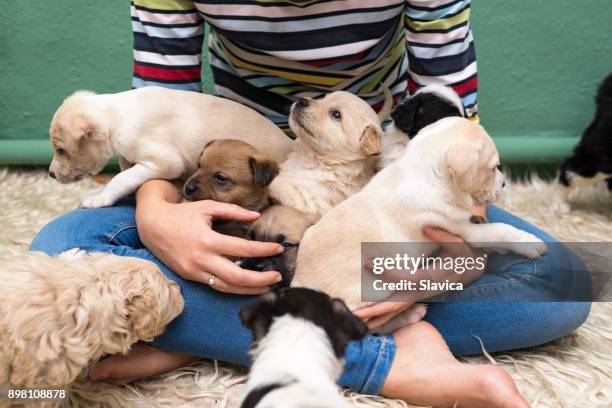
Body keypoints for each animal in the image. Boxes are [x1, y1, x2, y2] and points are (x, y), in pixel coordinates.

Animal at [49, 86, 292, 207]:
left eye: (61, 150)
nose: (50, 174)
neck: (116, 116)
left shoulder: (165, 162)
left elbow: (121, 178)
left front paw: (100, 198)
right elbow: (124, 171)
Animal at [268, 88, 392, 217]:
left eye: (336, 114)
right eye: (323, 98)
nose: (302, 101)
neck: (310, 156)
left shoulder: (313, 201)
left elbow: (284, 186)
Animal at [294, 118, 548, 312]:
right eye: (494, 167)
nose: (504, 184)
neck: (424, 174)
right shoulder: (461, 229)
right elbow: (500, 230)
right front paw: (530, 243)